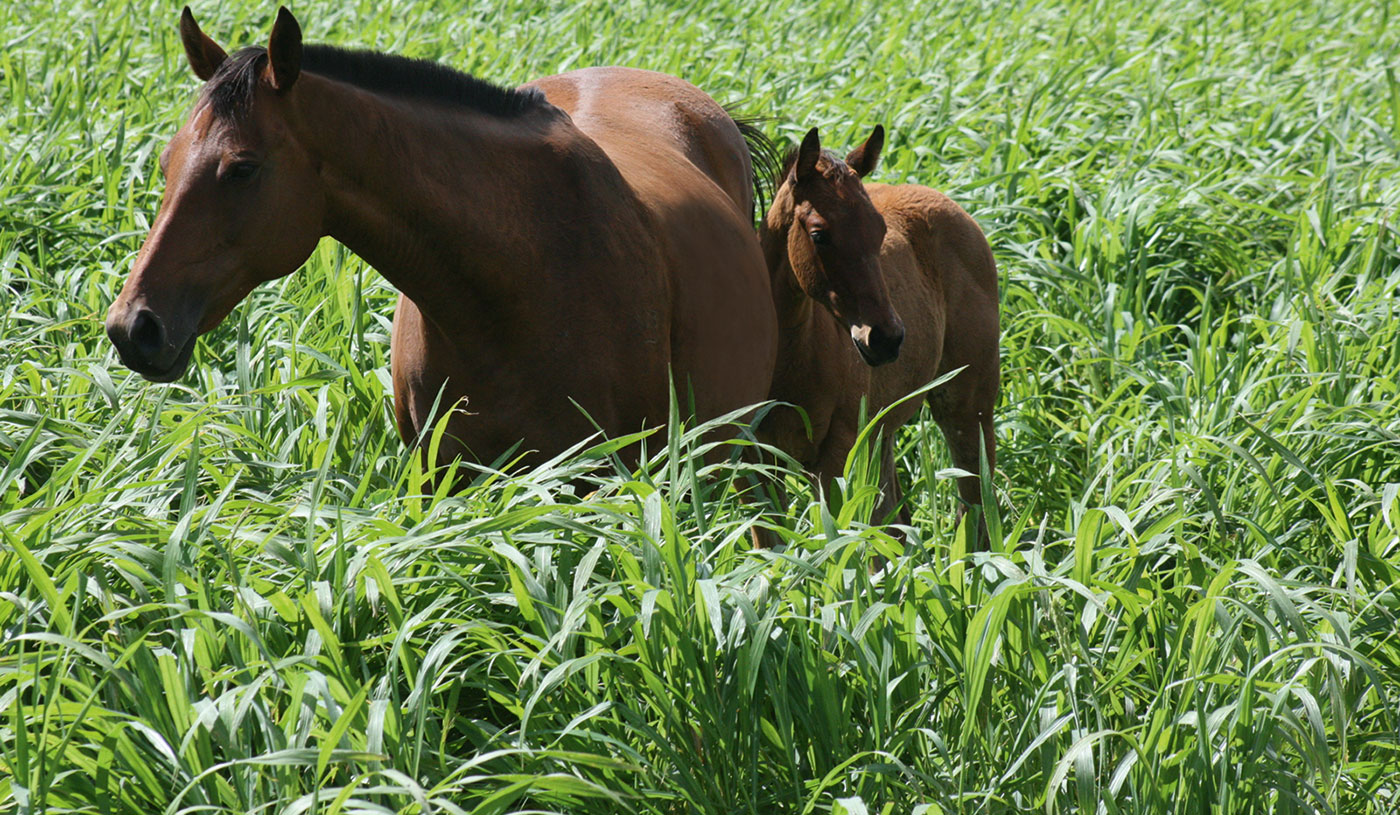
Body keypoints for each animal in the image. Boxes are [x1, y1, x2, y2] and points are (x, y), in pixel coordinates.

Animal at [761, 126, 1002, 537]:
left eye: (880, 230)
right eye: (819, 234)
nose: (886, 339)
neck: (792, 355)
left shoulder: (837, 454)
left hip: (967, 405)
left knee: (975, 507)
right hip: (880, 432)